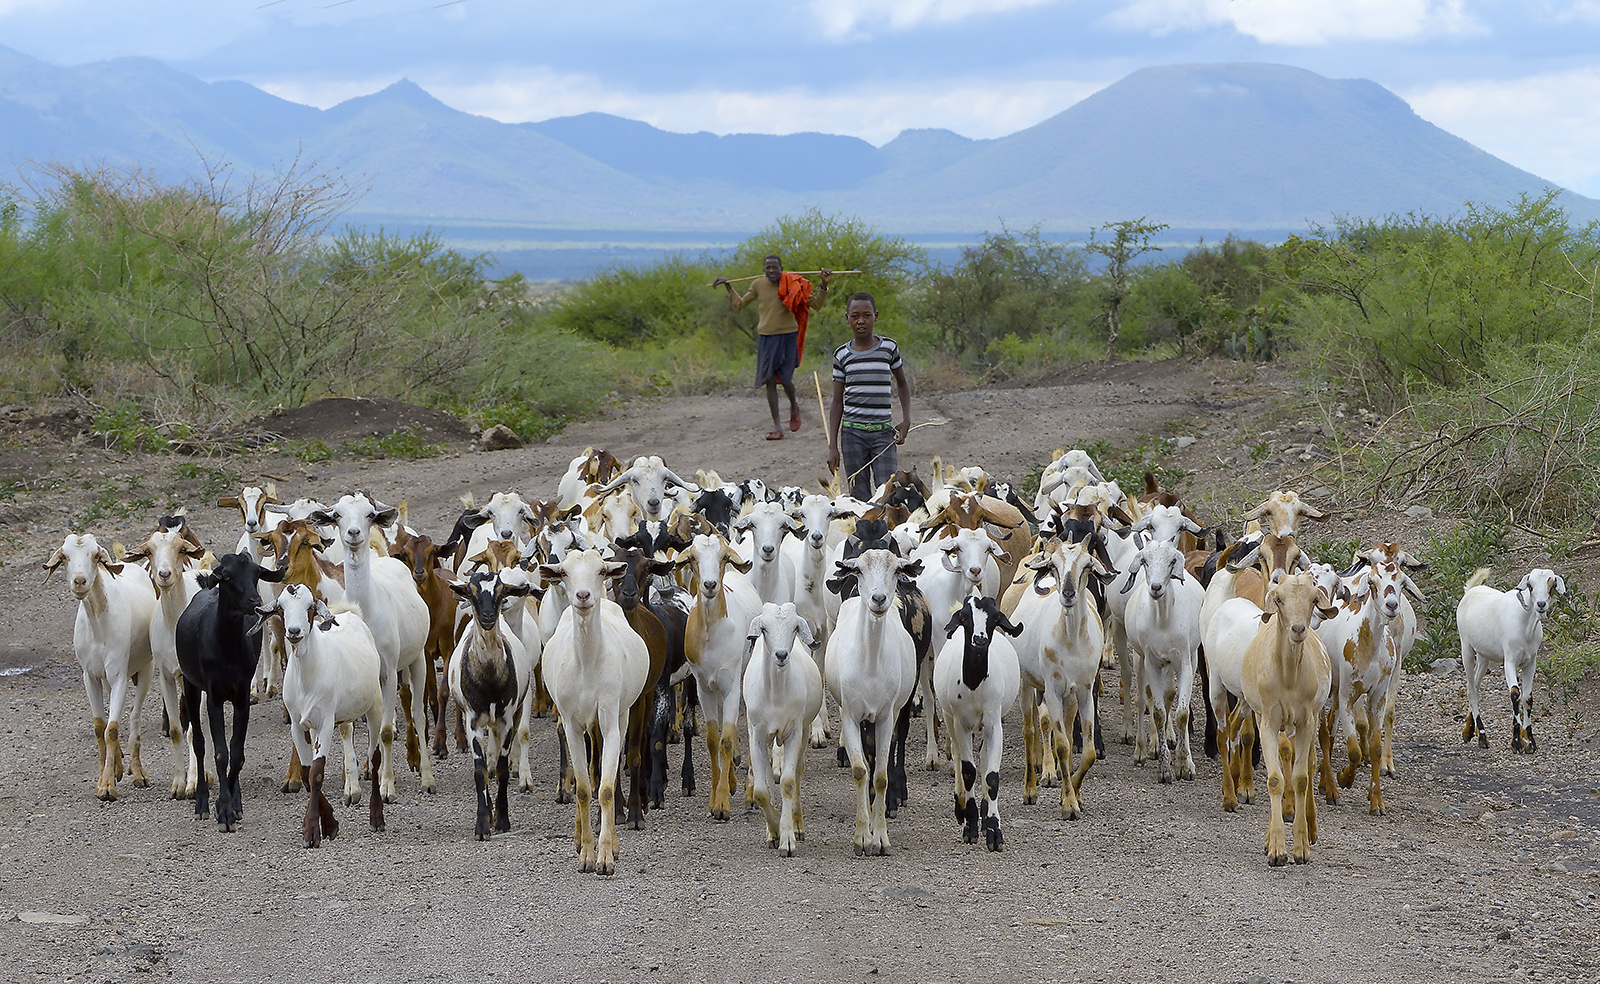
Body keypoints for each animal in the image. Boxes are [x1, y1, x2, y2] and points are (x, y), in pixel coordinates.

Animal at [45, 534, 157, 803]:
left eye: (95, 556)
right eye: (64, 557)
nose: (79, 581)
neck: (98, 627)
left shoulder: (118, 676)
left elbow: (112, 729)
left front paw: (107, 787)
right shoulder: (90, 676)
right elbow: (99, 727)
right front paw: (105, 775)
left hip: (145, 669)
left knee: (135, 716)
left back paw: (138, 772)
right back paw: (118, 765)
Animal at [742, 601, 825, 857]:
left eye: (794, 628)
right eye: (764, 629)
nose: (781, 655)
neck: (776, 694)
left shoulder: (793, 732)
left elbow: (788, 783)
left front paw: (788, 838)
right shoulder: (757, 735)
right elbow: (761, 791)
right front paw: (775, 830)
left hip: (804, 730)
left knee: (797, 772)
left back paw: (797, 824)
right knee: (769, 777)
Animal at [934, 595, 1024, 851]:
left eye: (995, 619)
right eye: (964, 618)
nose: (980, 640)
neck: (973, 685)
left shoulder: (994, 723)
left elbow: (991, 775)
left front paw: (993, 831)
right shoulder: (961, 724)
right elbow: (968, 771)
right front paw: (970, 827)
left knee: (983, 759)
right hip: (950, 717)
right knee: (957, 755)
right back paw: (961, 807)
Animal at [1459, 569, 1568, 755]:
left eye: (1552, 584)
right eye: (1530, 585)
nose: (1540, 604)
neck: (1525, 624)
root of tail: (1470, 591)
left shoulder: (1531, 662)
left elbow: (1528, 697)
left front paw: (1529, 742)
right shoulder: (1510, 660)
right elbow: (1515, 694)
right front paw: (1516, 742)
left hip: (1483, 656)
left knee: (1475, 685)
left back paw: (1469, 731)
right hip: (1466, 648)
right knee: (1471, 690)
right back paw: (1482, 738)